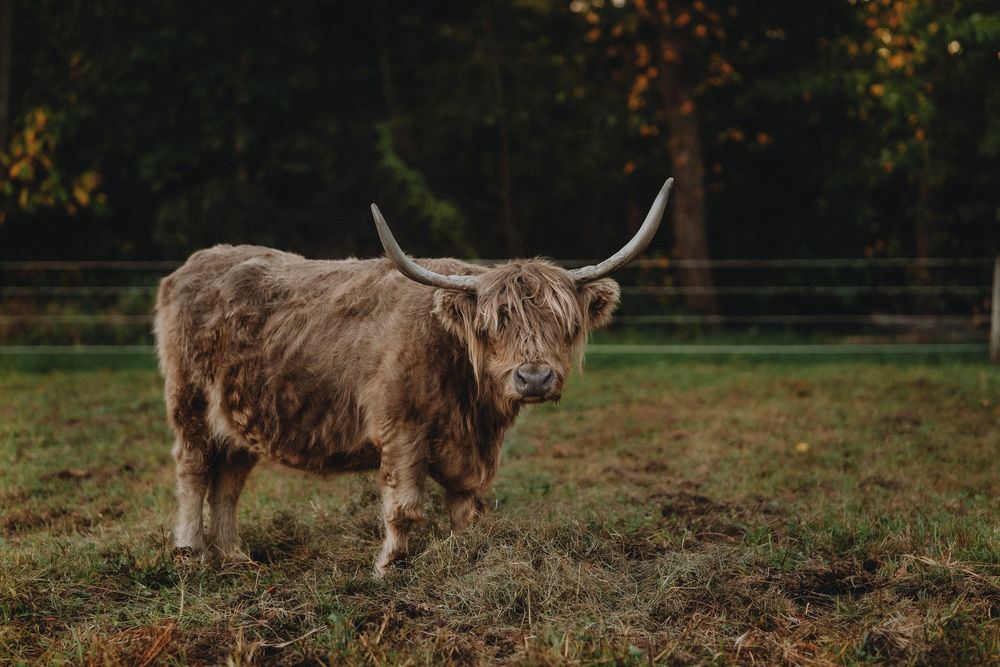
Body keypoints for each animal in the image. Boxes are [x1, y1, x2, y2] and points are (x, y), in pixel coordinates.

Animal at [154, 178, 673, 574]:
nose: (535, 378)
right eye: (495, 324)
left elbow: (468, 508)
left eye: (562, 323)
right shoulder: (400, 431)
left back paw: (234, 558)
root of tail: (194, 264)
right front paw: (390, 568)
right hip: (189, 401)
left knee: (229, 479)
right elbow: (404, 507)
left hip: (240, 414)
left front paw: (466, 559)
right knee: (193, 468)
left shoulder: (473, 451)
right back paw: (191, 553)